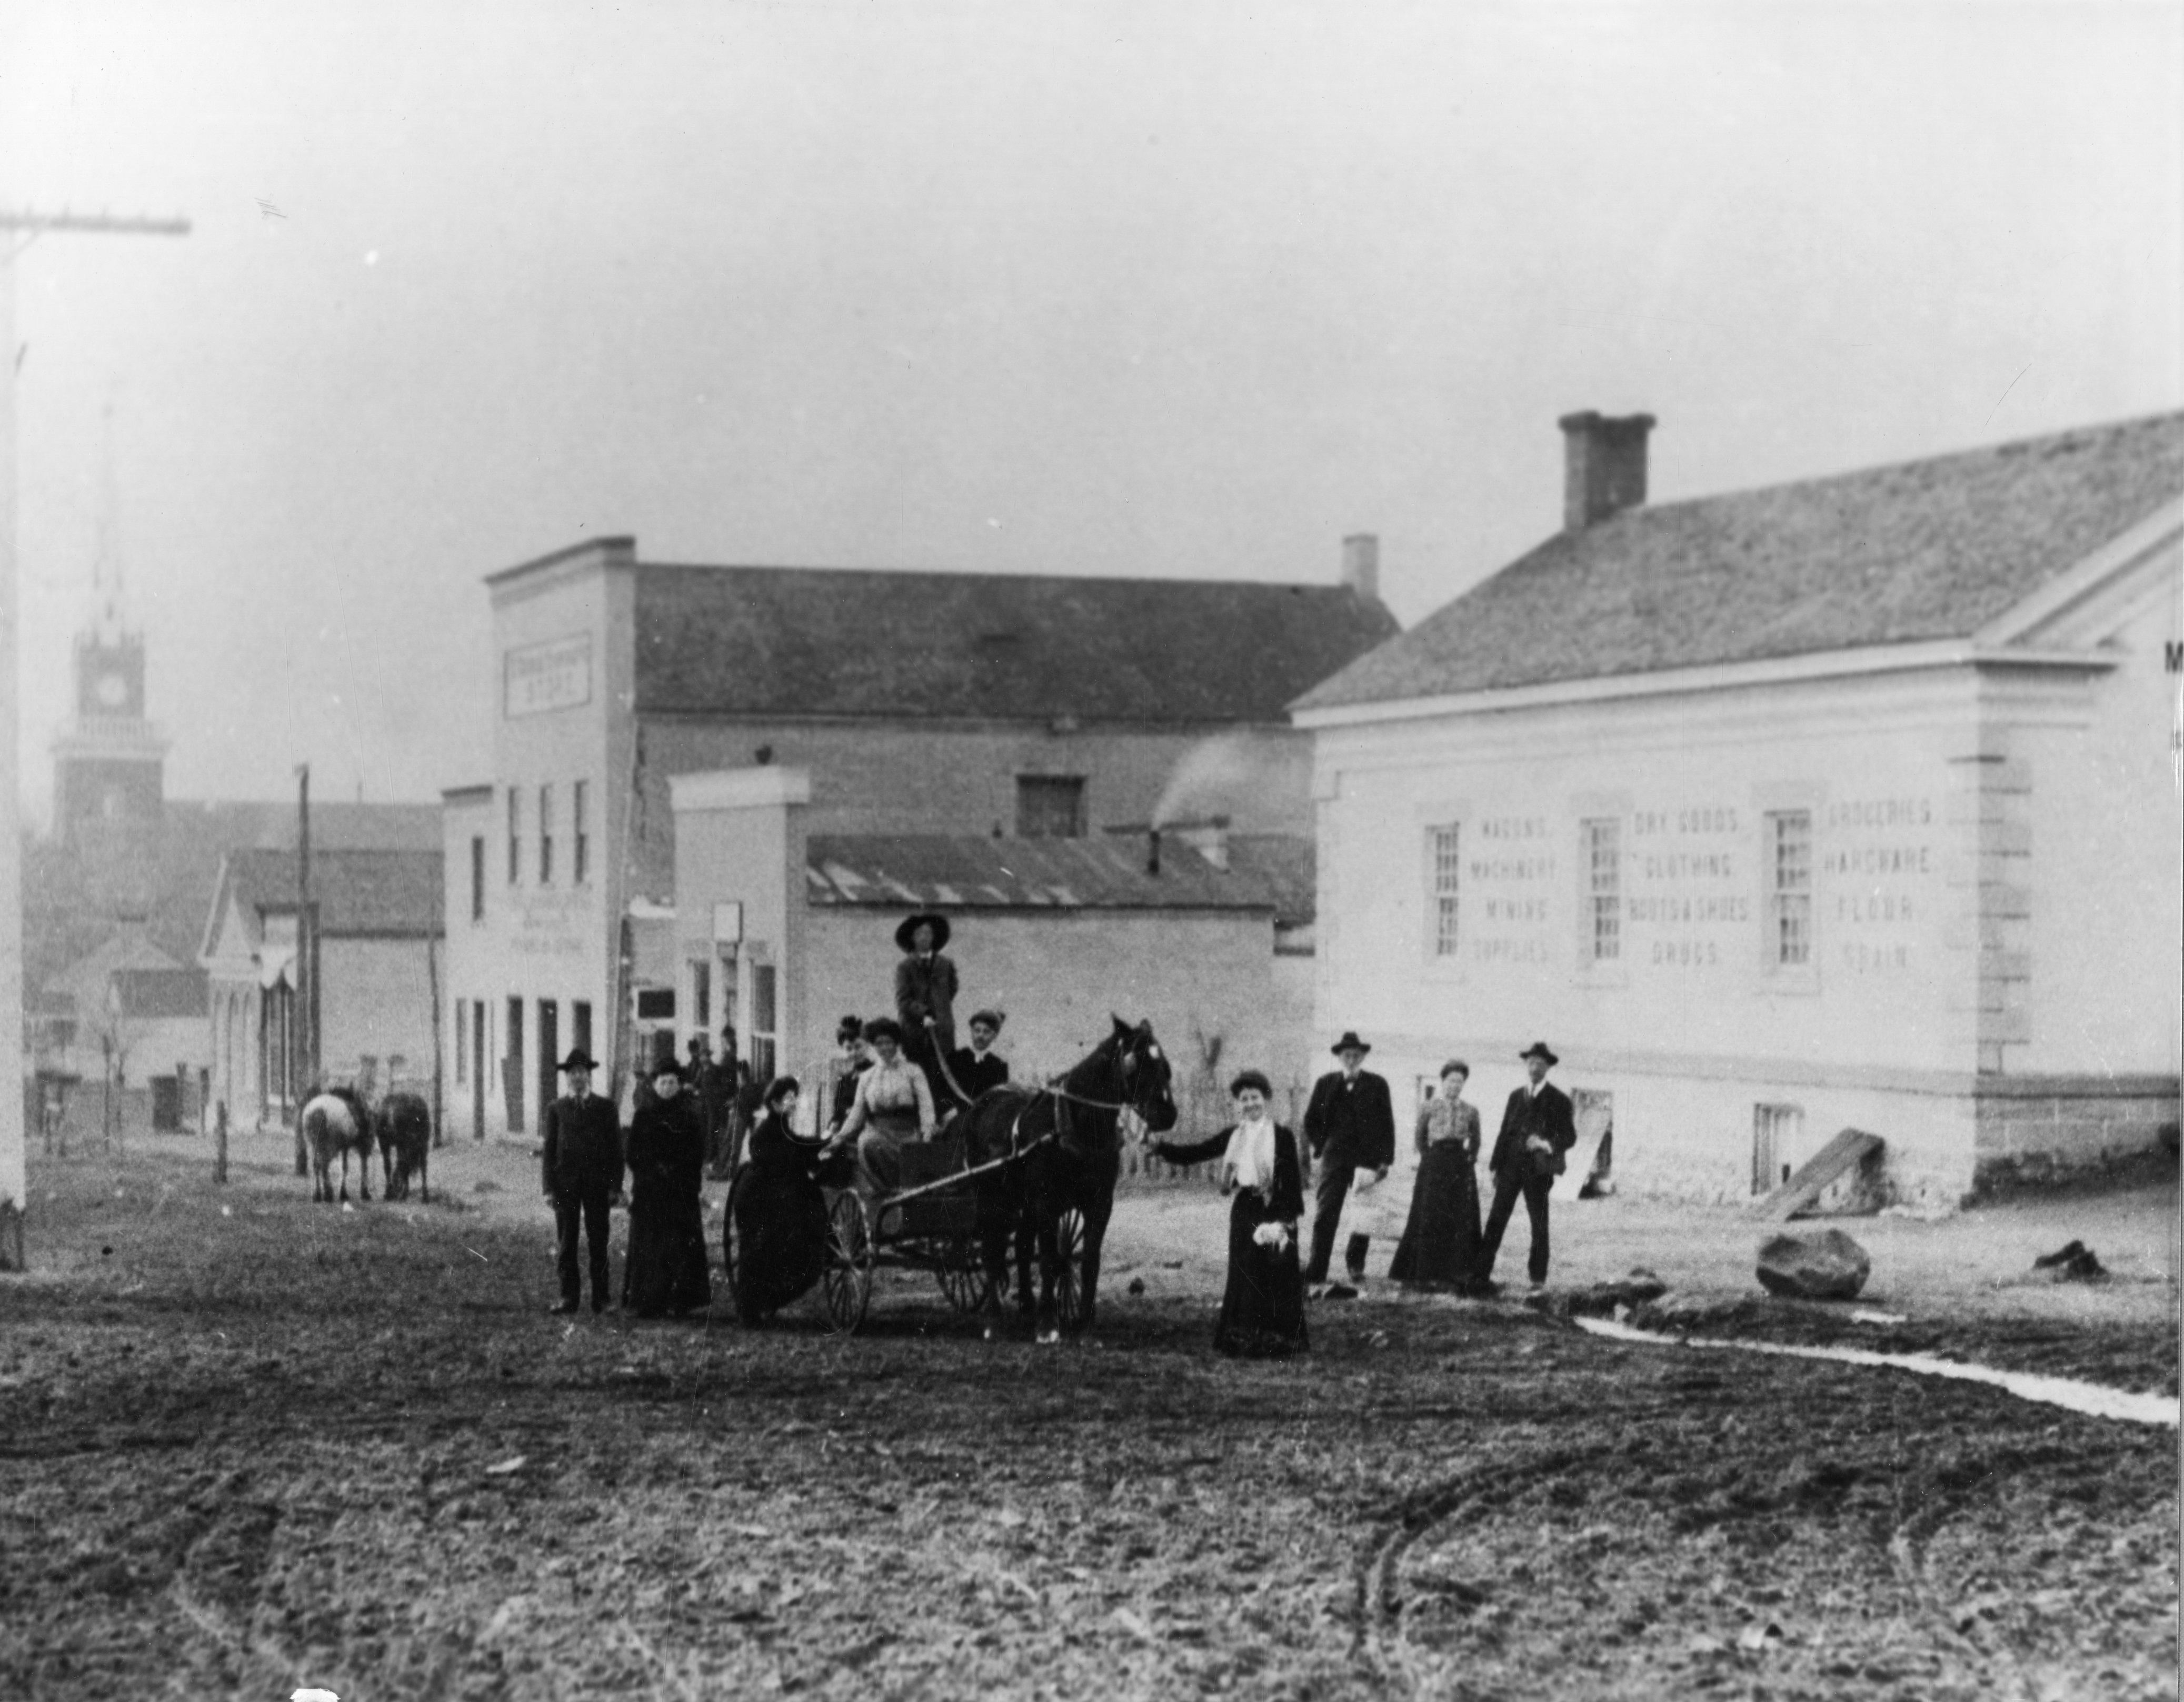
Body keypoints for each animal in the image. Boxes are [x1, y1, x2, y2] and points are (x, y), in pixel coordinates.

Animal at [301, 1083, 373, 1206]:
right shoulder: (347, 1145)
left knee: (316, 1165)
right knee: (324, 1165)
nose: (370, 1148)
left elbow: (344, 1167)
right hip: (328, 1145)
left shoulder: (345, 1146)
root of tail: (316, 1112)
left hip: (312, 1144)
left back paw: (317, 1195)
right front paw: (347, 1193)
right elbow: (346, 1167)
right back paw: (328, 1194)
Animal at [375, 1092, 430, 1197]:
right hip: (422, 1142)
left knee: (405, 1163)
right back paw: (424, 1195)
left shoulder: (386, 1143)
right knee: (422, 1164)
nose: (397, 1188)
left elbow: (389, 1166)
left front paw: (390, 1192)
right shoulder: (400, 1144)